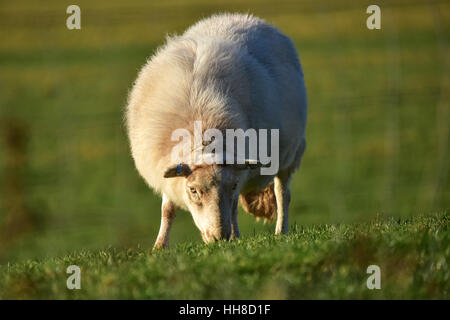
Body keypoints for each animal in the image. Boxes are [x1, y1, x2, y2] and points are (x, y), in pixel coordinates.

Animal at [126, 12, 310, 249]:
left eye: (231, 186)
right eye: (193, 190)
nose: (219, 237)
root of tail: (246, 17)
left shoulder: (239, 175)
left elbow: (233, 208)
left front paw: (234, 236)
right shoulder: (168, 174)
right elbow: (167, 210)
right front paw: (159, 247)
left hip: (290, 155)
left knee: (282, 194)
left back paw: (280, 231)